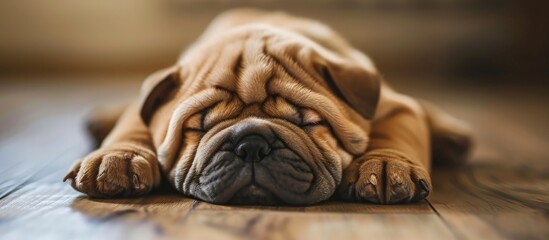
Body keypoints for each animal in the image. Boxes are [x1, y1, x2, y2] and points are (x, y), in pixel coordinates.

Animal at [63, 8, 470, 204]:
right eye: (198, 127)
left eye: (309, 123)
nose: (251, 145)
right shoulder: (146, 103)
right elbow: (132, 127)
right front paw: (117, 159)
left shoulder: (395, 106)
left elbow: (395, 135)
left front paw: (385, 167)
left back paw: (451, 135)